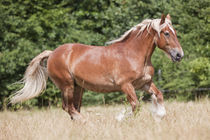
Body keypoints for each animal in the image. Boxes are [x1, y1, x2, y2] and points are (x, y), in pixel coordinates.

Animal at [10, 14, 183, 121]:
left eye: (174, 32)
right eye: (166, 33)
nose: (179, 55)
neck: (133, 54)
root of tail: (52, 53)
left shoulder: (145, 84)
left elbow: (159, 96)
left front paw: (160, 116)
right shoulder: (126, 85)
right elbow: (135, 106)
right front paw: (121, 119)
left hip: (78, 87)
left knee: (74, 108)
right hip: (67, 86)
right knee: (68, 107)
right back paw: (87, 122)